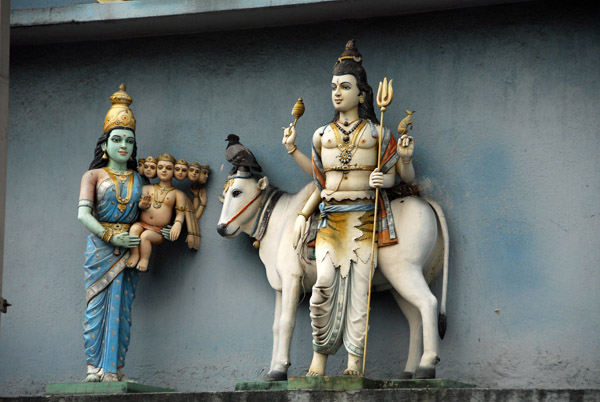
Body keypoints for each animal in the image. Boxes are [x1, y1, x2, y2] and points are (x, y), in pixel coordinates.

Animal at [218, 169, 448, 380]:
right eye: (224, 194)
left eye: (237, 192)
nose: (221, 228)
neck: (281, 221)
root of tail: (426, 202)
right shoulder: (280, 287)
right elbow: (276, 326)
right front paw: (272, 371)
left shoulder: (292, 279)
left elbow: (286, 323)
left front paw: (280, 370)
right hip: (398, 283)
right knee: (415, 318)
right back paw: (409, 371)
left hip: (404, 271)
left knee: (429, 303)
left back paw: (427, 366)